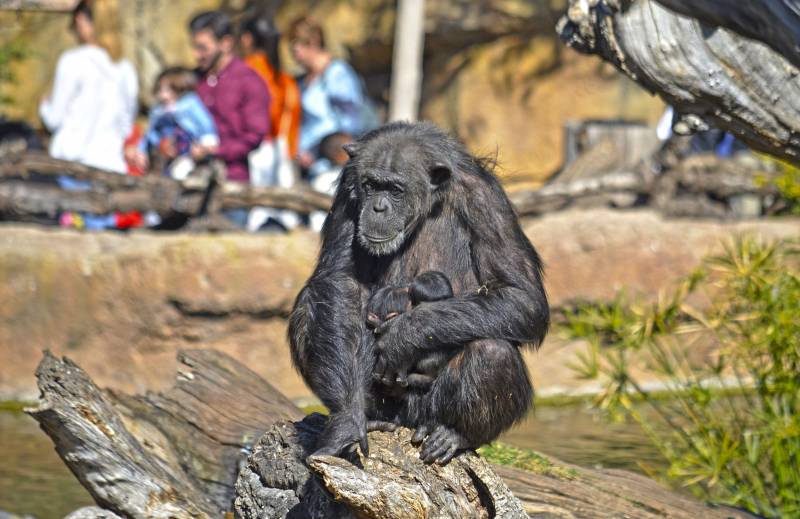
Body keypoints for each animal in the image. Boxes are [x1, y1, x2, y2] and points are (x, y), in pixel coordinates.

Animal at [290, 123, 552, 468]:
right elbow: (342, 279)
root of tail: (407, 422)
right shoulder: (348, 187)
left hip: (427, 408)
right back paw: (371, 418)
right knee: (309, 307)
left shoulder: (486, 201)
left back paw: (453, 435)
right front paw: (345, 422)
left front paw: (403, 336)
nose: (378, 207)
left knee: (493, 352)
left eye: (395, 190)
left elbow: (521, 296)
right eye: (370, 185)